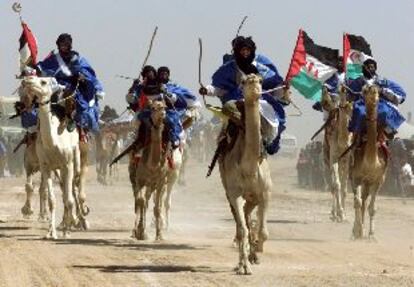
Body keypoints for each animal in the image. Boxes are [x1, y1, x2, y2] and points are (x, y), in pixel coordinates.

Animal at [20, 76, 86, 238]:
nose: (28, 79)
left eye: (43, 82)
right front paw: (51, 232)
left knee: (73, 189)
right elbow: (51, 199)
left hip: (75, 162)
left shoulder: (67, 164)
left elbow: (69, 199)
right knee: (61, 189)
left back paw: (79, 221)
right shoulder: (45, 166)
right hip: (56, 169)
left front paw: (67, 231)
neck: (53, 142)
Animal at [218, 75, 276, 276]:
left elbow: (264, 231)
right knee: (240, 222)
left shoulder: (265, 194)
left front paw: (257, 251)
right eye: (244, 82)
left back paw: (252, 255)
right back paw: (241, 263)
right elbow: (242, 228)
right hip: (229, 190)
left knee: (247, 215)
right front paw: (245, 266)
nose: (256, 90)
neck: (249, 167)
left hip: (253, 198)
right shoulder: (235, 193)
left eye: (260, 80)